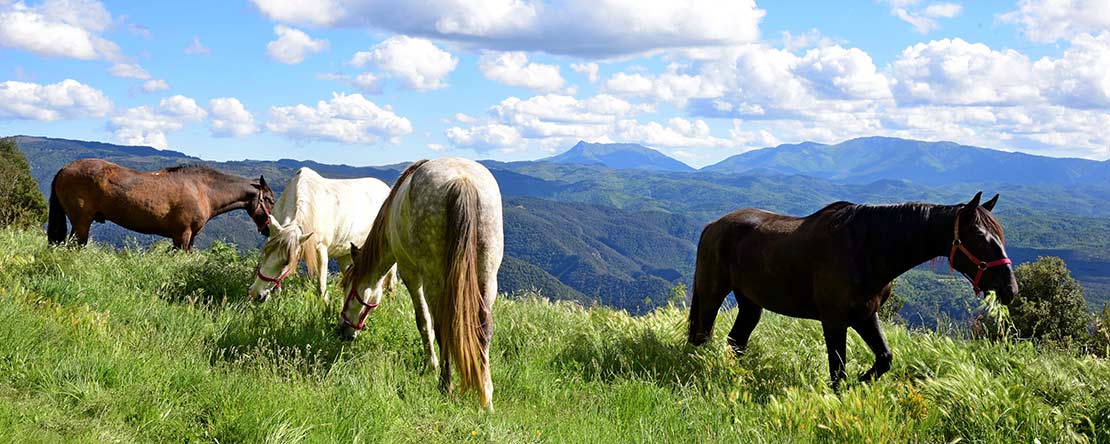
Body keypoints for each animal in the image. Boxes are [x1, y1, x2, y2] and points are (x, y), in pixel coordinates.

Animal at [47, 159, 274, 250]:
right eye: (270, 200)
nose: (269, 230)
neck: (203, 190)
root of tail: (64, 169)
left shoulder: (189, 238)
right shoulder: (182, 235)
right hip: (81, 223)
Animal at [248, 167, 397, 303]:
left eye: (286, 262)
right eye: (265, 252)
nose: (256, 293)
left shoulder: (321, 251)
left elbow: (321, 287)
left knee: (391, 278)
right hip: (346, 253)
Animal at [340, 158, 503, 411]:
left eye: (349, 290)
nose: (343, 332)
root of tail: (462, 181)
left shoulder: (411, 273)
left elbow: (423, 321)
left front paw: (431, 365)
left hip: (435, 279)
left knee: (443, 326)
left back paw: (445, 385)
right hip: (487, 275)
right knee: (484, 329)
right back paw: (486, 397)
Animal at [687, 192, 1017, 389]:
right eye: (979, 237)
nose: (1009, 288)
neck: (865, 249)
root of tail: (713, 225)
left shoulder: (865, 316)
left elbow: (884, 358)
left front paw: (861, 382)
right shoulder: (834, 320)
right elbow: (838, 369)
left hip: (750, 302)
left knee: (736, 340)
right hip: (713, 293)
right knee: (703, 335)